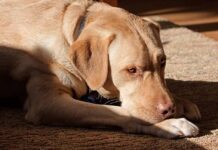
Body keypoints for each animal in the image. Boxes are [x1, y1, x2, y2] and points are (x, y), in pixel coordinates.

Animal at [0, 0, 201, 138]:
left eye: (163, 62)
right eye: (132, 70)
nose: (169, 110)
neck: (69, 35)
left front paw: (181, 102)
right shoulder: (46, 102)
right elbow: (119, 112)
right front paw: (171, 124)